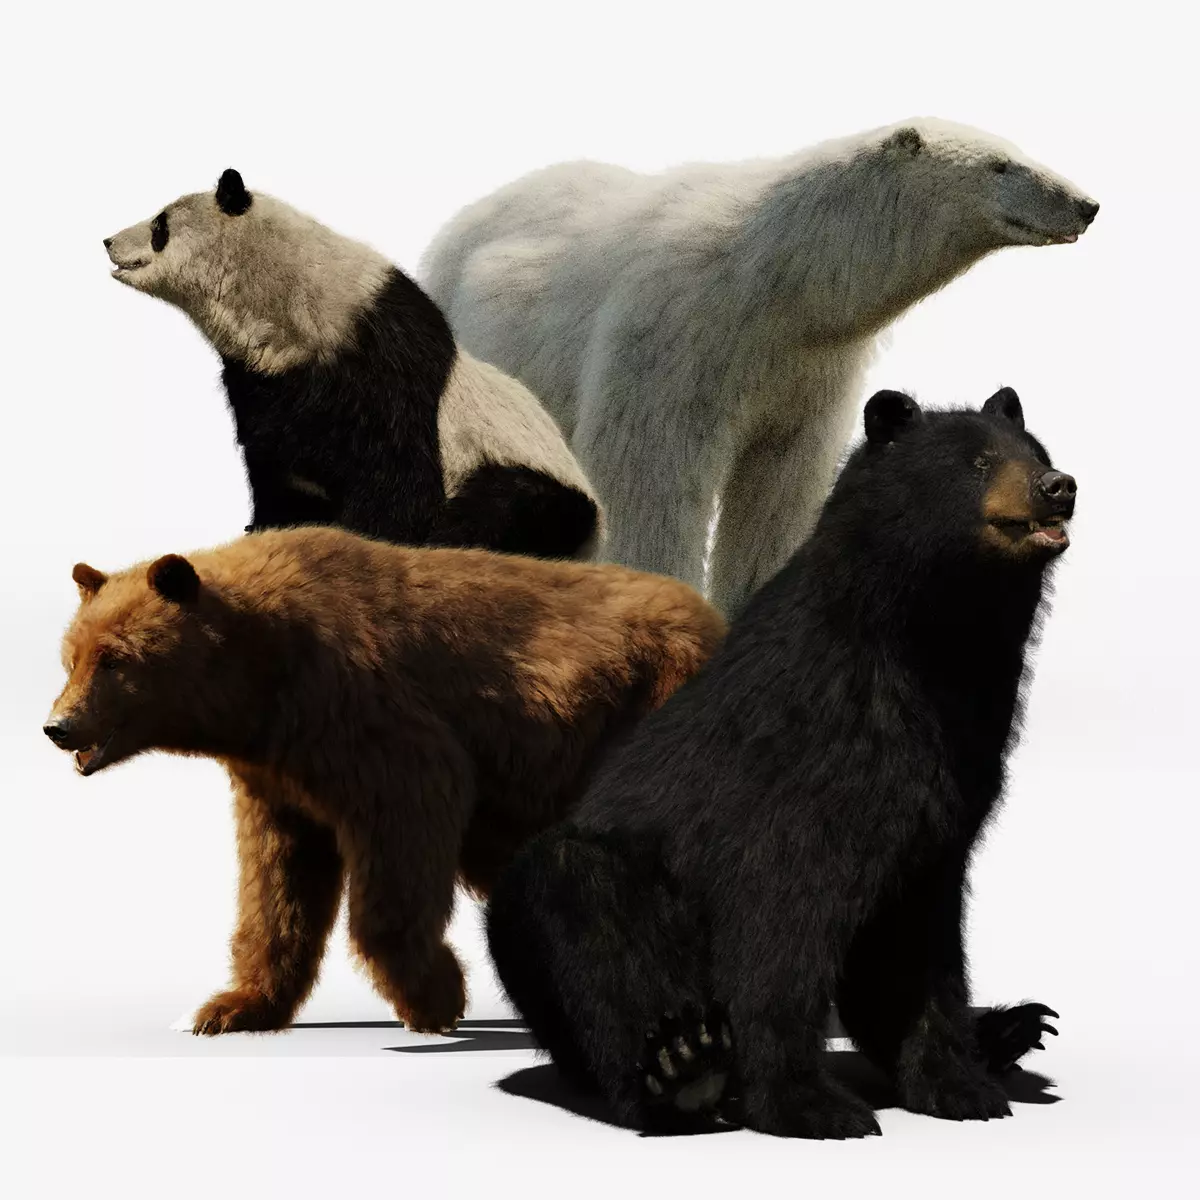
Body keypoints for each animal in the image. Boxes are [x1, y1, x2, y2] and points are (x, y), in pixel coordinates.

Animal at [43, 527, 724, 1035]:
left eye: (116, 658)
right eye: (71, 656)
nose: (59, 727)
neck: (261, 678)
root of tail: (715, 617)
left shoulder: (368, 717)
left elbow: (404, 832)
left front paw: (436, 999)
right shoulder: (279, 777)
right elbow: (277, 882)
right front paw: (229, 1007)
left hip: (646, 714)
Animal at [104, 169, 603, 560]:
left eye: (160, 225)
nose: (108, 241)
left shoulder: (380, 360)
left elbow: (397, 475)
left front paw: (372, 535)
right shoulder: (264, 378)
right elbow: (274, 459)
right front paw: (271, 526)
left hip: (538, 478)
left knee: (502, 506)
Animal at [422, 118, 1098, 615]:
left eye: (1020, 150)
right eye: (999, 165)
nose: (1087, 204)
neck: (773, 279)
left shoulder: (808, 368)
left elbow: (779, 483)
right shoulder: (674, 334)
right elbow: (649, 472)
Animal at [485, 386, 1071, 1136]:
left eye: (1037, 450)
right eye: (977, 461)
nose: (1058, 486)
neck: (925, 647)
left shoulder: (947, 792)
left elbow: (917, 941)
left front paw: (959, 1086)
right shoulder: (793, 767)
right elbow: (778, 926)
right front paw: (810, 1102)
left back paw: (1009, 1030)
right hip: (559, 908)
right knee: (585, 904)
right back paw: (687, 1068)